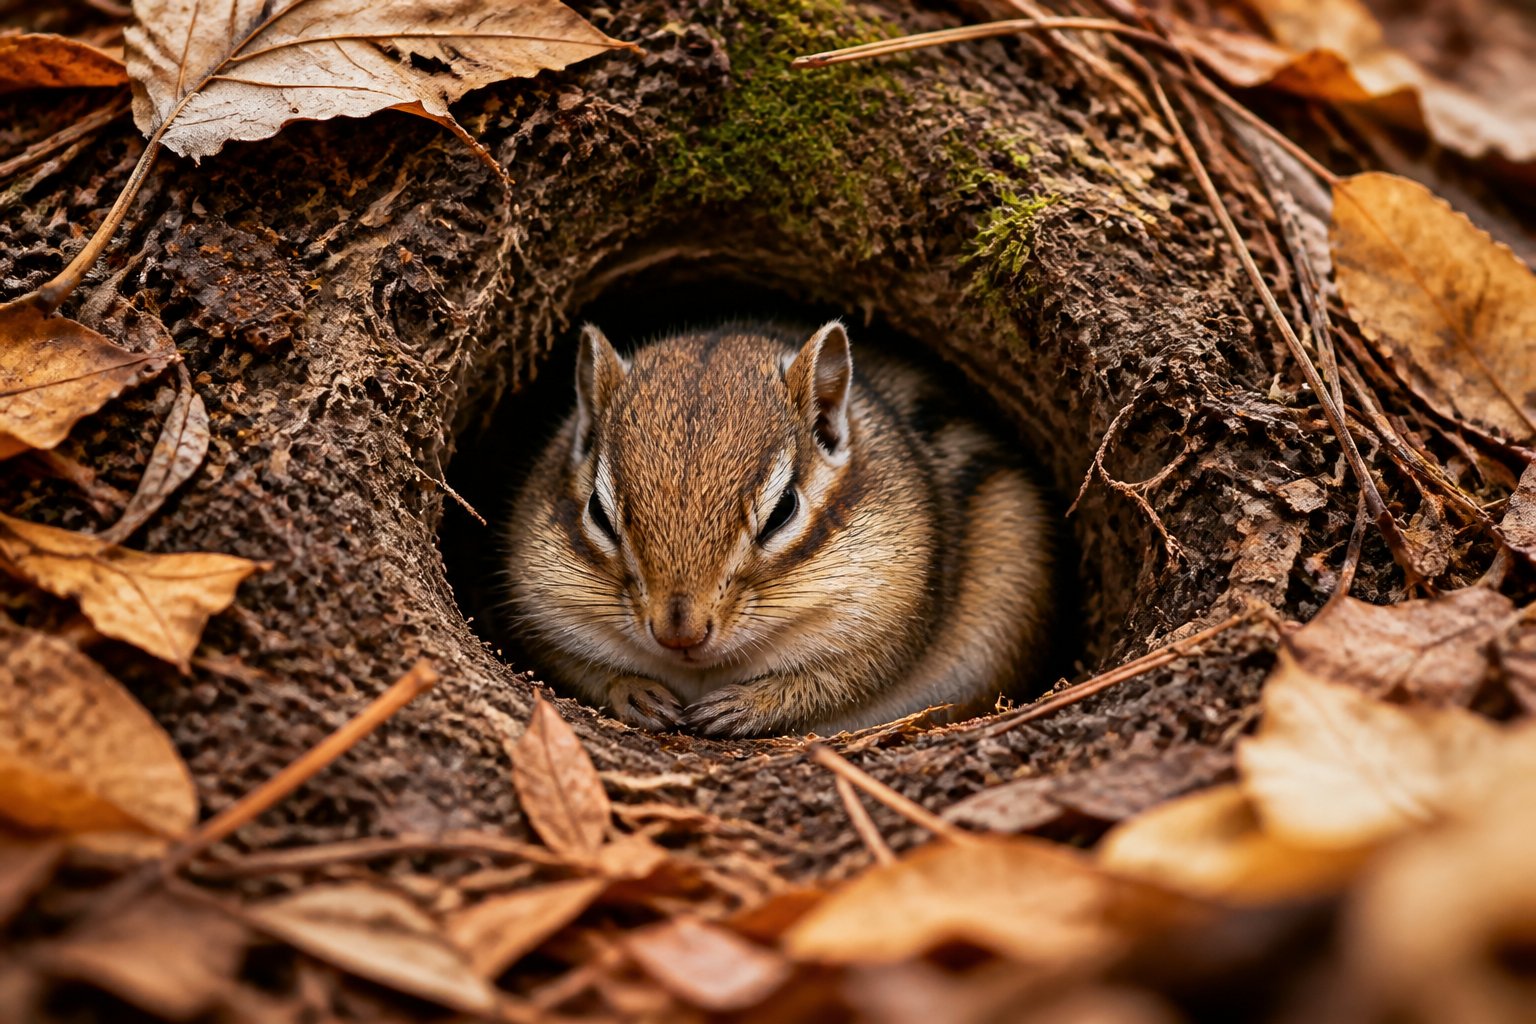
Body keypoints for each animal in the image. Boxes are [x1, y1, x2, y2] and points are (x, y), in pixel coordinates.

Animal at [503, 320, 1054, 738]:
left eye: (783, 510)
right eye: (598, 512)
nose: (680, 634)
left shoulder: (895, 616)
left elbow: (839, 681)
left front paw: (746, 705)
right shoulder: (541, 615)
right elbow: (573, 668)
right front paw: (633, 691)